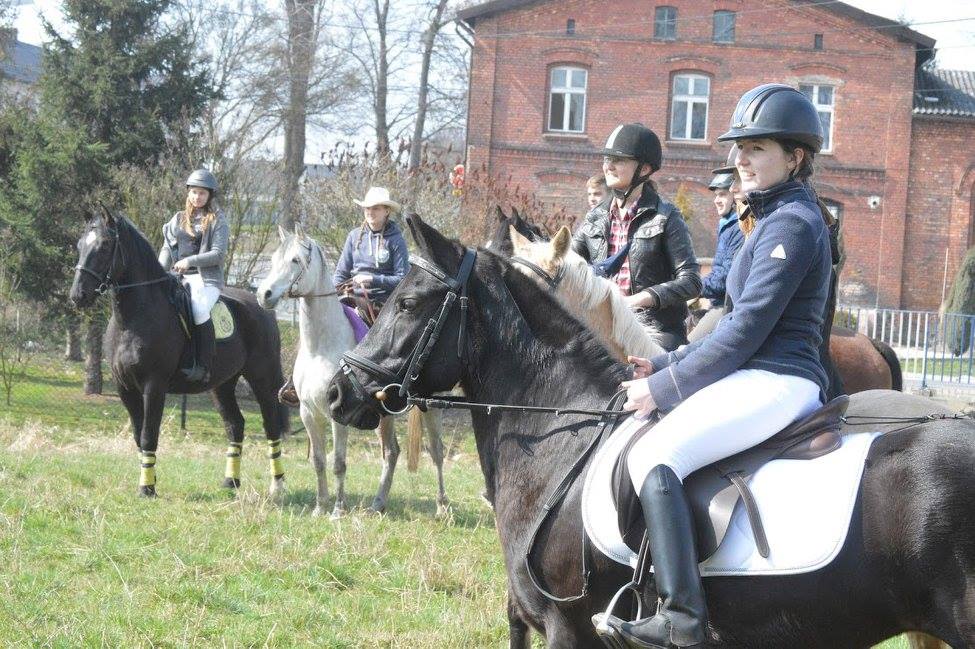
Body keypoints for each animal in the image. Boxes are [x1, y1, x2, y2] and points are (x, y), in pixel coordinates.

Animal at [69, 210, 289, 498]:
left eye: (105, 245)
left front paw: (147, 488)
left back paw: (278, 486)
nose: (78, 295)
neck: (133, 319)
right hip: (222, 385)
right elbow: (138, 434)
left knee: (271, 425)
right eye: (79, 245)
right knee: (235, 425)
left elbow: (149, 434)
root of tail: (261, 306)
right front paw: (150, 479)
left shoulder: (154, 385)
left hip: (261, 379)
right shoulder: (124, 387)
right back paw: (230, 482)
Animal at [256, 225, 449, 517]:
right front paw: (320, 507)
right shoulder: (308, 413)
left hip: (430, 407)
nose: (264, 294)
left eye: (295, 261)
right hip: (384, 414)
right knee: (391, 451)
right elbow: (319, 461)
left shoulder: (338, 414)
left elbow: (338, 462)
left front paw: (338, 509)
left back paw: (441, 507)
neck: (320, 348)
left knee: (436, 450)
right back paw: (378, 504)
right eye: (275, 258)